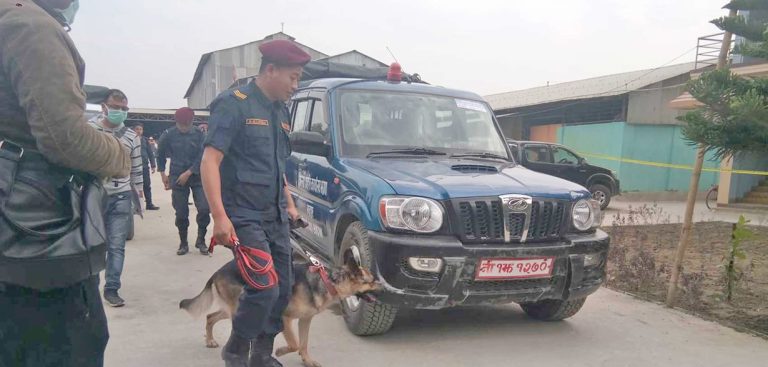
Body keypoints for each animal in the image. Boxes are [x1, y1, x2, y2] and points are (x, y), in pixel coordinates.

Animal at [180, 249, 378, 366]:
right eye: (371, 281)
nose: (383, 286)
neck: (329, 281)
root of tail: (218, 271)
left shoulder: (305, 320)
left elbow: (304, 343)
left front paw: (307, 360)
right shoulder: (285, 318)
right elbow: (295, 343)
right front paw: (280, 351)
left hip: (237, 308)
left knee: (210, 317)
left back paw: (210, 341)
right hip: (243, 308)